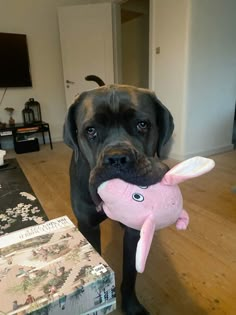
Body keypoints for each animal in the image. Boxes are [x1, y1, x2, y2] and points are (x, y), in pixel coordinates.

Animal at [63, 77, 174, 315]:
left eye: (142, 125)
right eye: (91, 130)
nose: (117, 158)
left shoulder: (133, 234)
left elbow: (130, 273)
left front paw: (131, 305)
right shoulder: (88, 226)